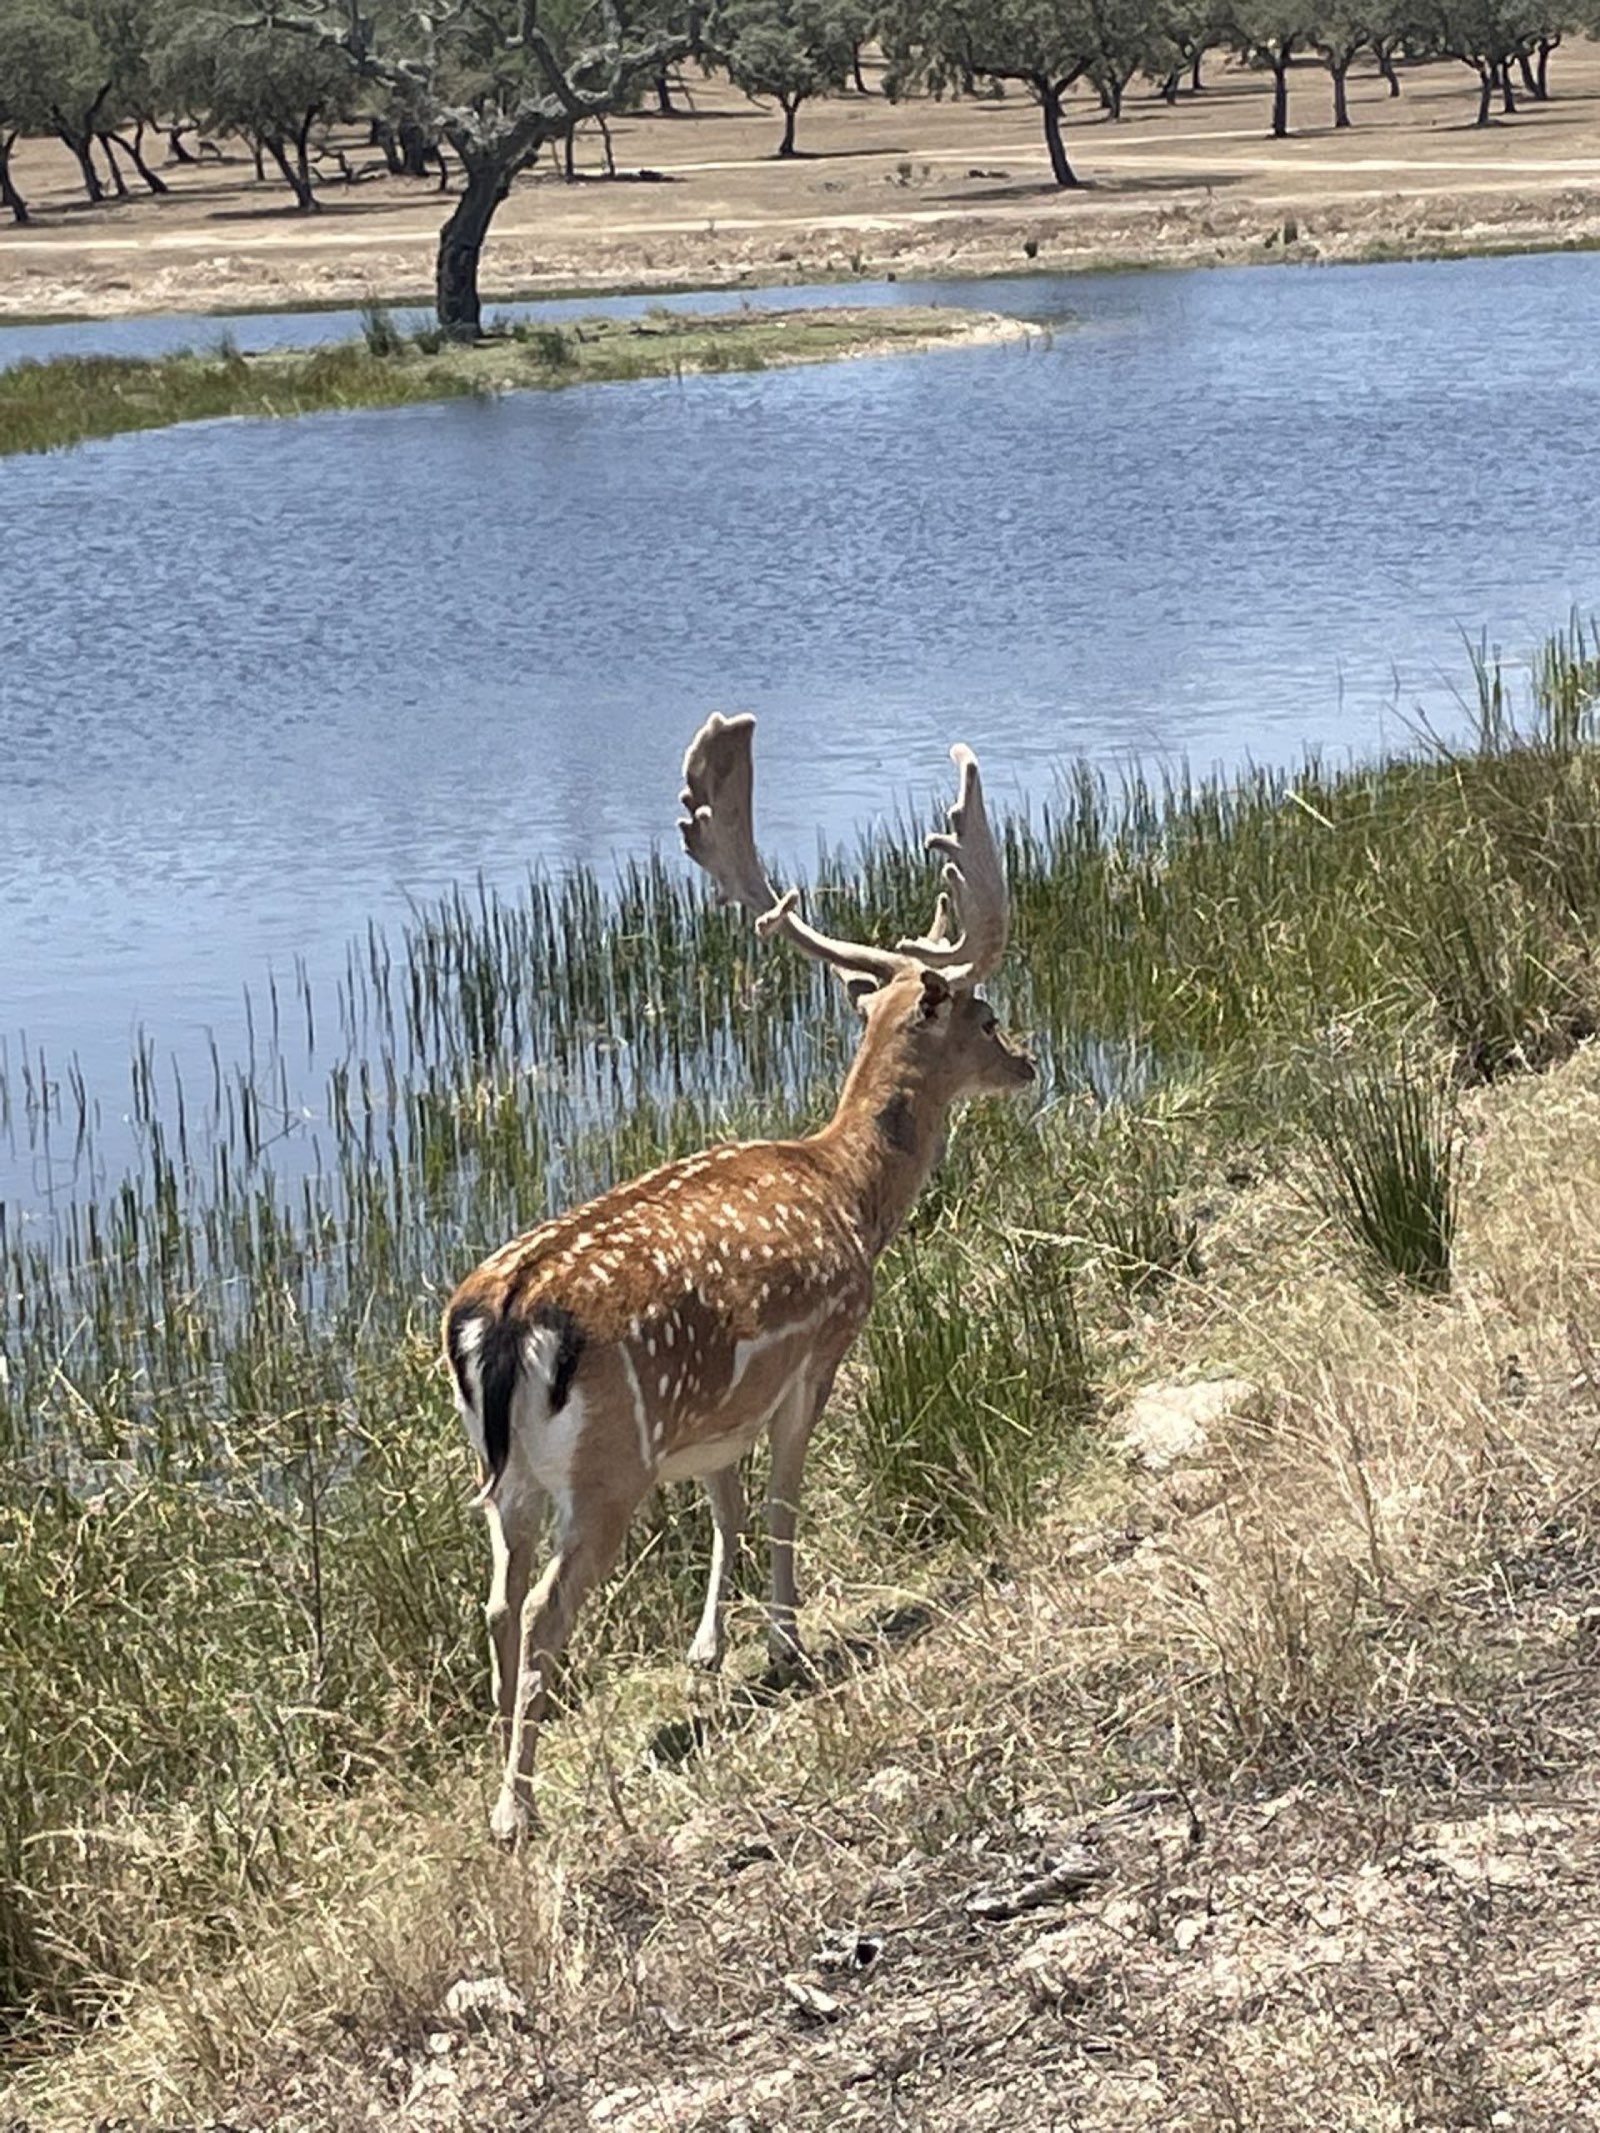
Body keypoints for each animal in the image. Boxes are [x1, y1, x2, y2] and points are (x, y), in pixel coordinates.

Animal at [444, 713, 1035, 1840]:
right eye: (983, 1014)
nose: (1029, 1062)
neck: (850, 1193)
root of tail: (503, 1318)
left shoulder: (715, 1405)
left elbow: (722, 1502)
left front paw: (710, 1650)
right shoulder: (822, 1347)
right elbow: (781, 1498)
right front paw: (789, 1643)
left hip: (507, 1473)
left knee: (496, 1598)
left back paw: (506, 1754)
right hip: (610, 1464)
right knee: (540, 1608)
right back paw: (514, 1809)